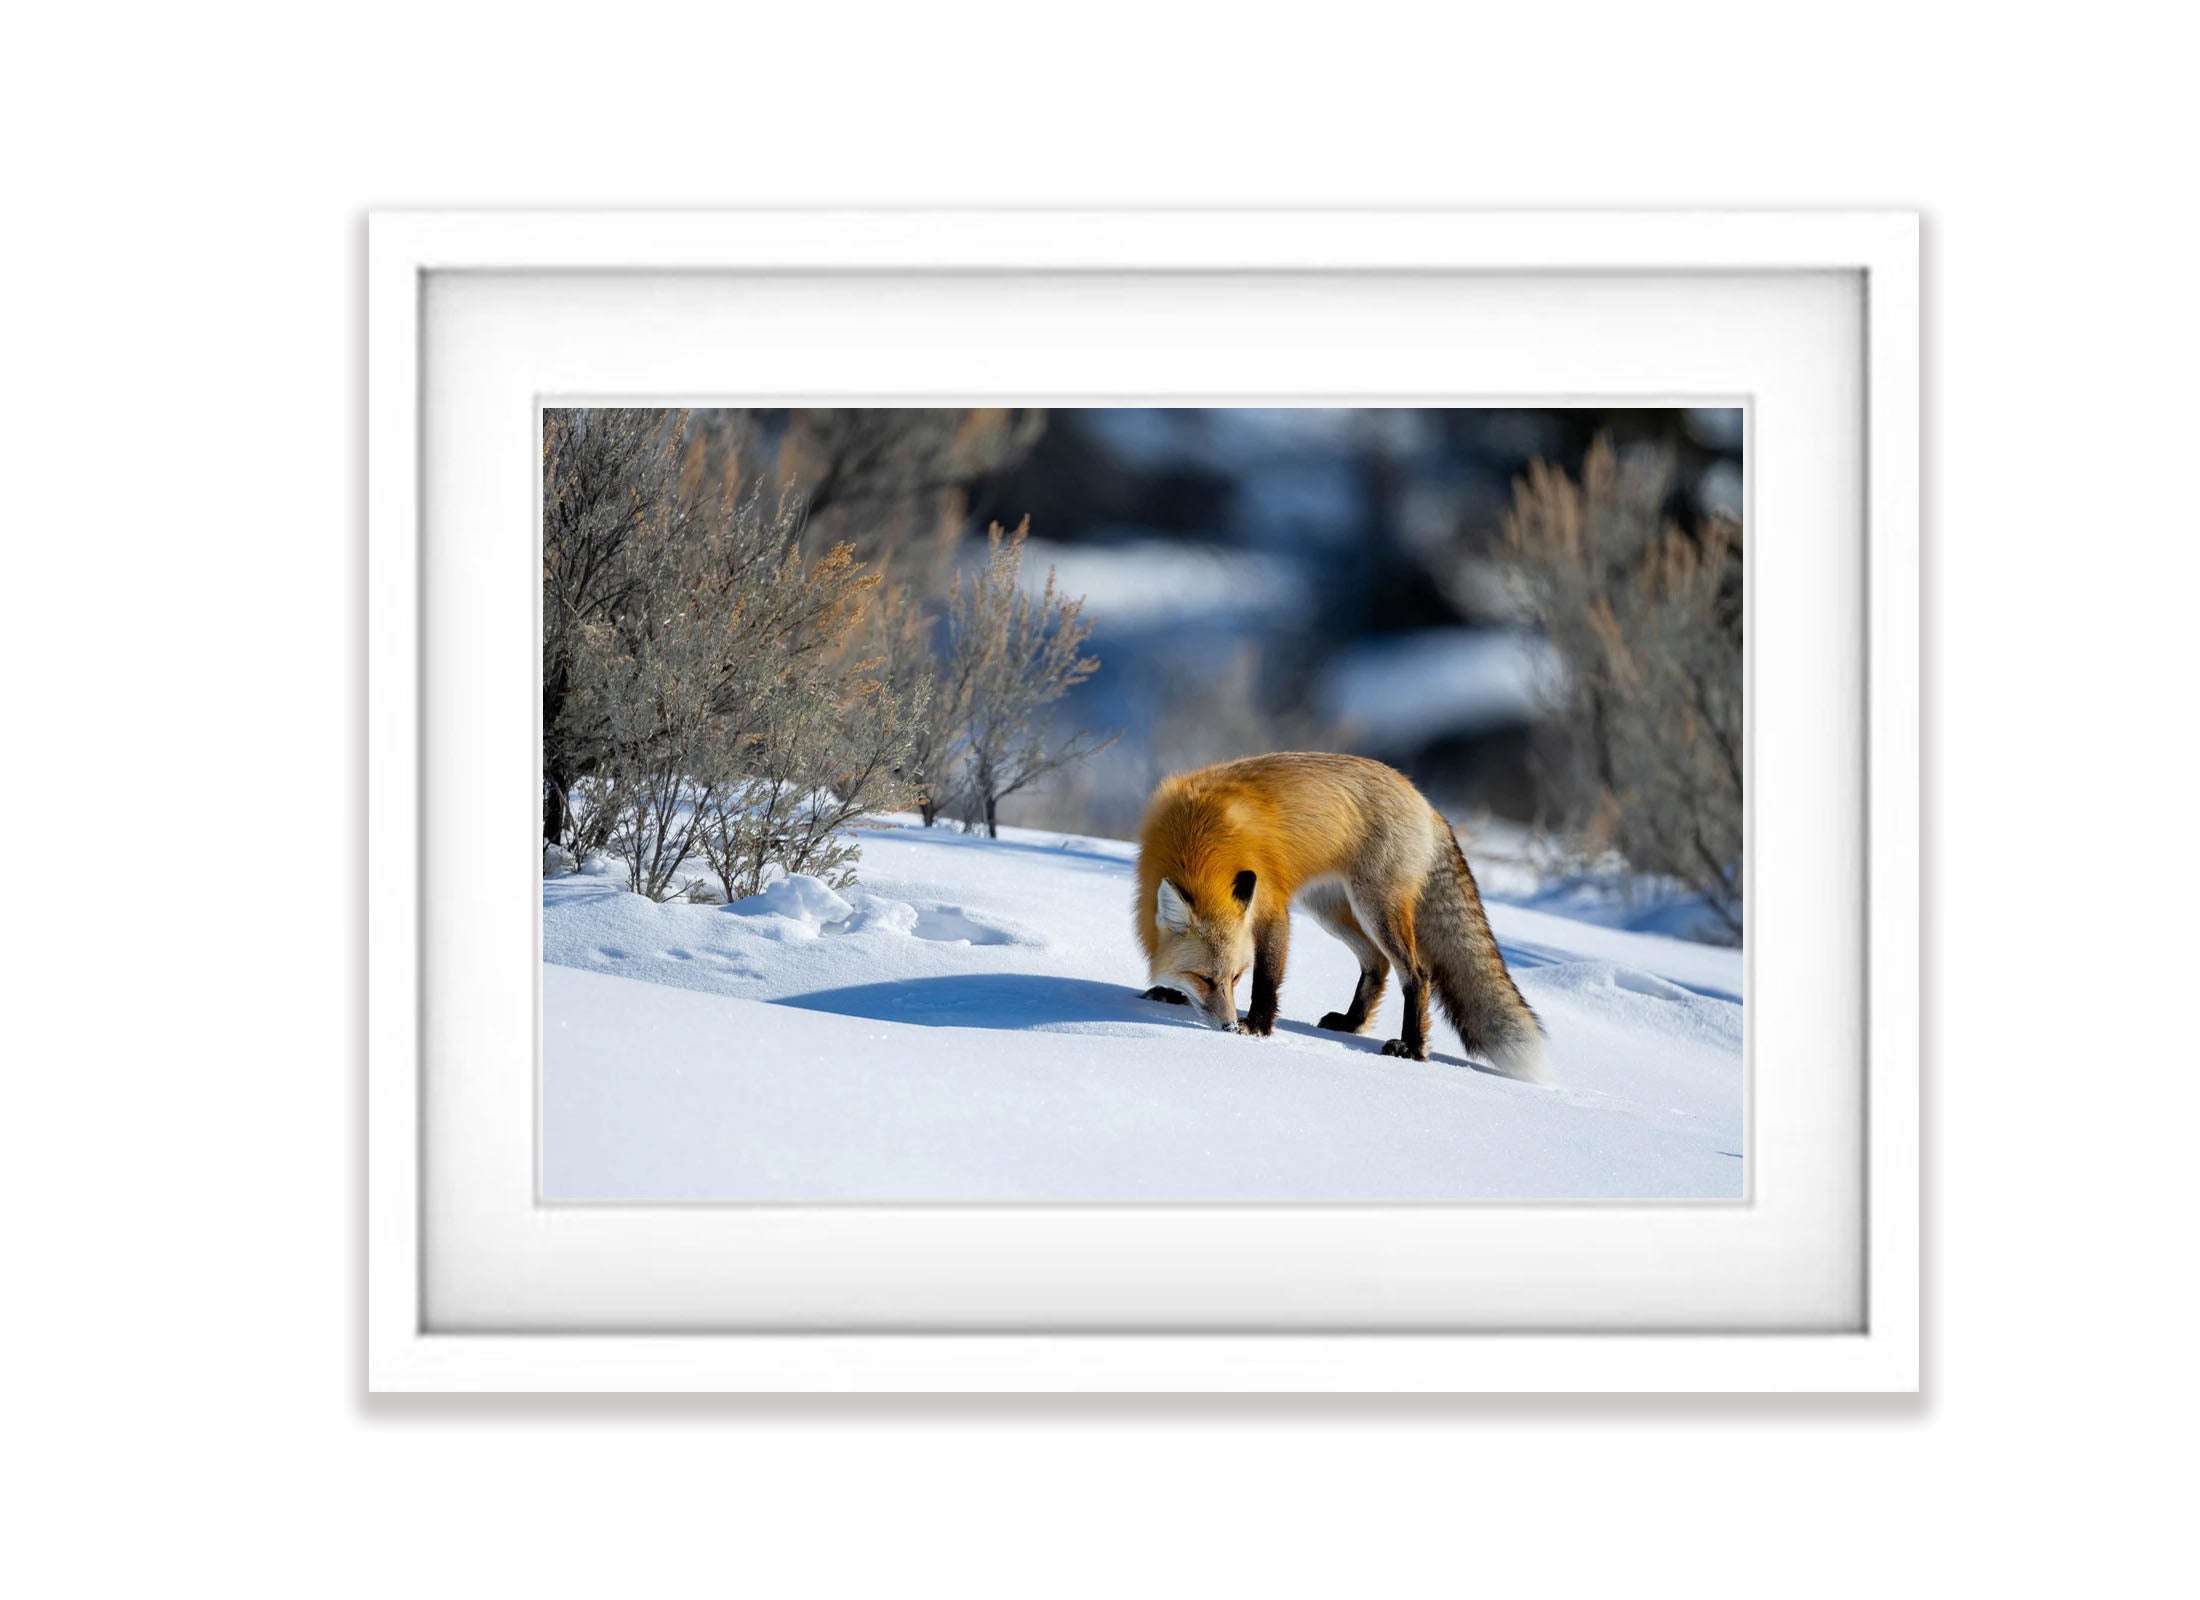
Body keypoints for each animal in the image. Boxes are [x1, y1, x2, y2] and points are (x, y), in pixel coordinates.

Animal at [1135, 748, 1548, 1078]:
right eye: (1205, 978)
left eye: (1236, 977)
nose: (1228, 1028)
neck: (1199, 840)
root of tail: (1425, 802)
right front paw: (1169, 993)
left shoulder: (1272, 907)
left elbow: (1267, 978)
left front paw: (1258, 1026)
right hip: (1330, 910)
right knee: (1376, 964)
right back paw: (1352, 1022)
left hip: (1375, 908)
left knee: (1416, 973)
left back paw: (1413, 1048)